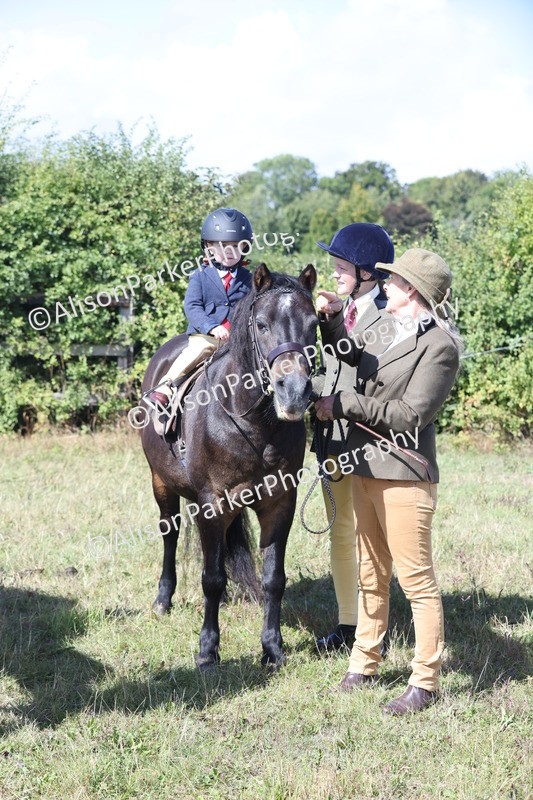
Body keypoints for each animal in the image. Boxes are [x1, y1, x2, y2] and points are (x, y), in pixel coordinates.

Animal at [140, 263, 318, 668]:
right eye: (262, 325)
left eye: (314, 323)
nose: (294, 392)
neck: (253, 422)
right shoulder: (211, 503)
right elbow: (211, 577)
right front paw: (208, 650)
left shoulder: (280, 503)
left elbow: (273, 578)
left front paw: (272, 648)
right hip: (161, 483)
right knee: (171, 536)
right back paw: (162, 600)